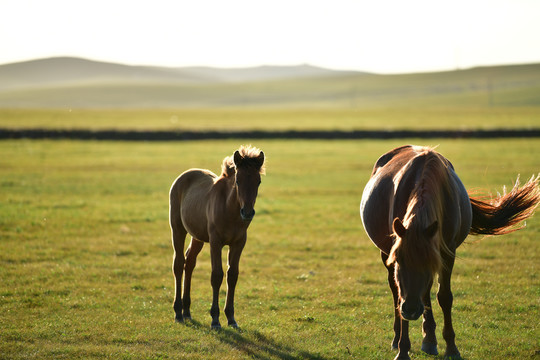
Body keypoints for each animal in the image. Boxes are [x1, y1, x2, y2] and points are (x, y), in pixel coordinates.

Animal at [170, 145, 264, 328]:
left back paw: (187, 311)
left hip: (197, 236)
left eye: (258, 181)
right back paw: (178, 312)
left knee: (189, 262)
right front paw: (215, 319)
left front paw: (231, 318)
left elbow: (232, 275)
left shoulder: (239, 243)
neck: (230, 209)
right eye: (238, 181)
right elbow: (217, 275)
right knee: (178, 263)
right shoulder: (215, 242)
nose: (247, 212)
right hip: (178, 228)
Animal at [358, 145, 540, 358]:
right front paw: (403, 350)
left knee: (425, 293)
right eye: (400, 260)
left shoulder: (446, 253)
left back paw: (429, 340)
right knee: (397, 292)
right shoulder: (395, 252)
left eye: (427, 263)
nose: (411, 310)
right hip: (384, 253)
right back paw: (399, 338)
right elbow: (401, 292)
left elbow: (444, 297)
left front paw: (451, 348)